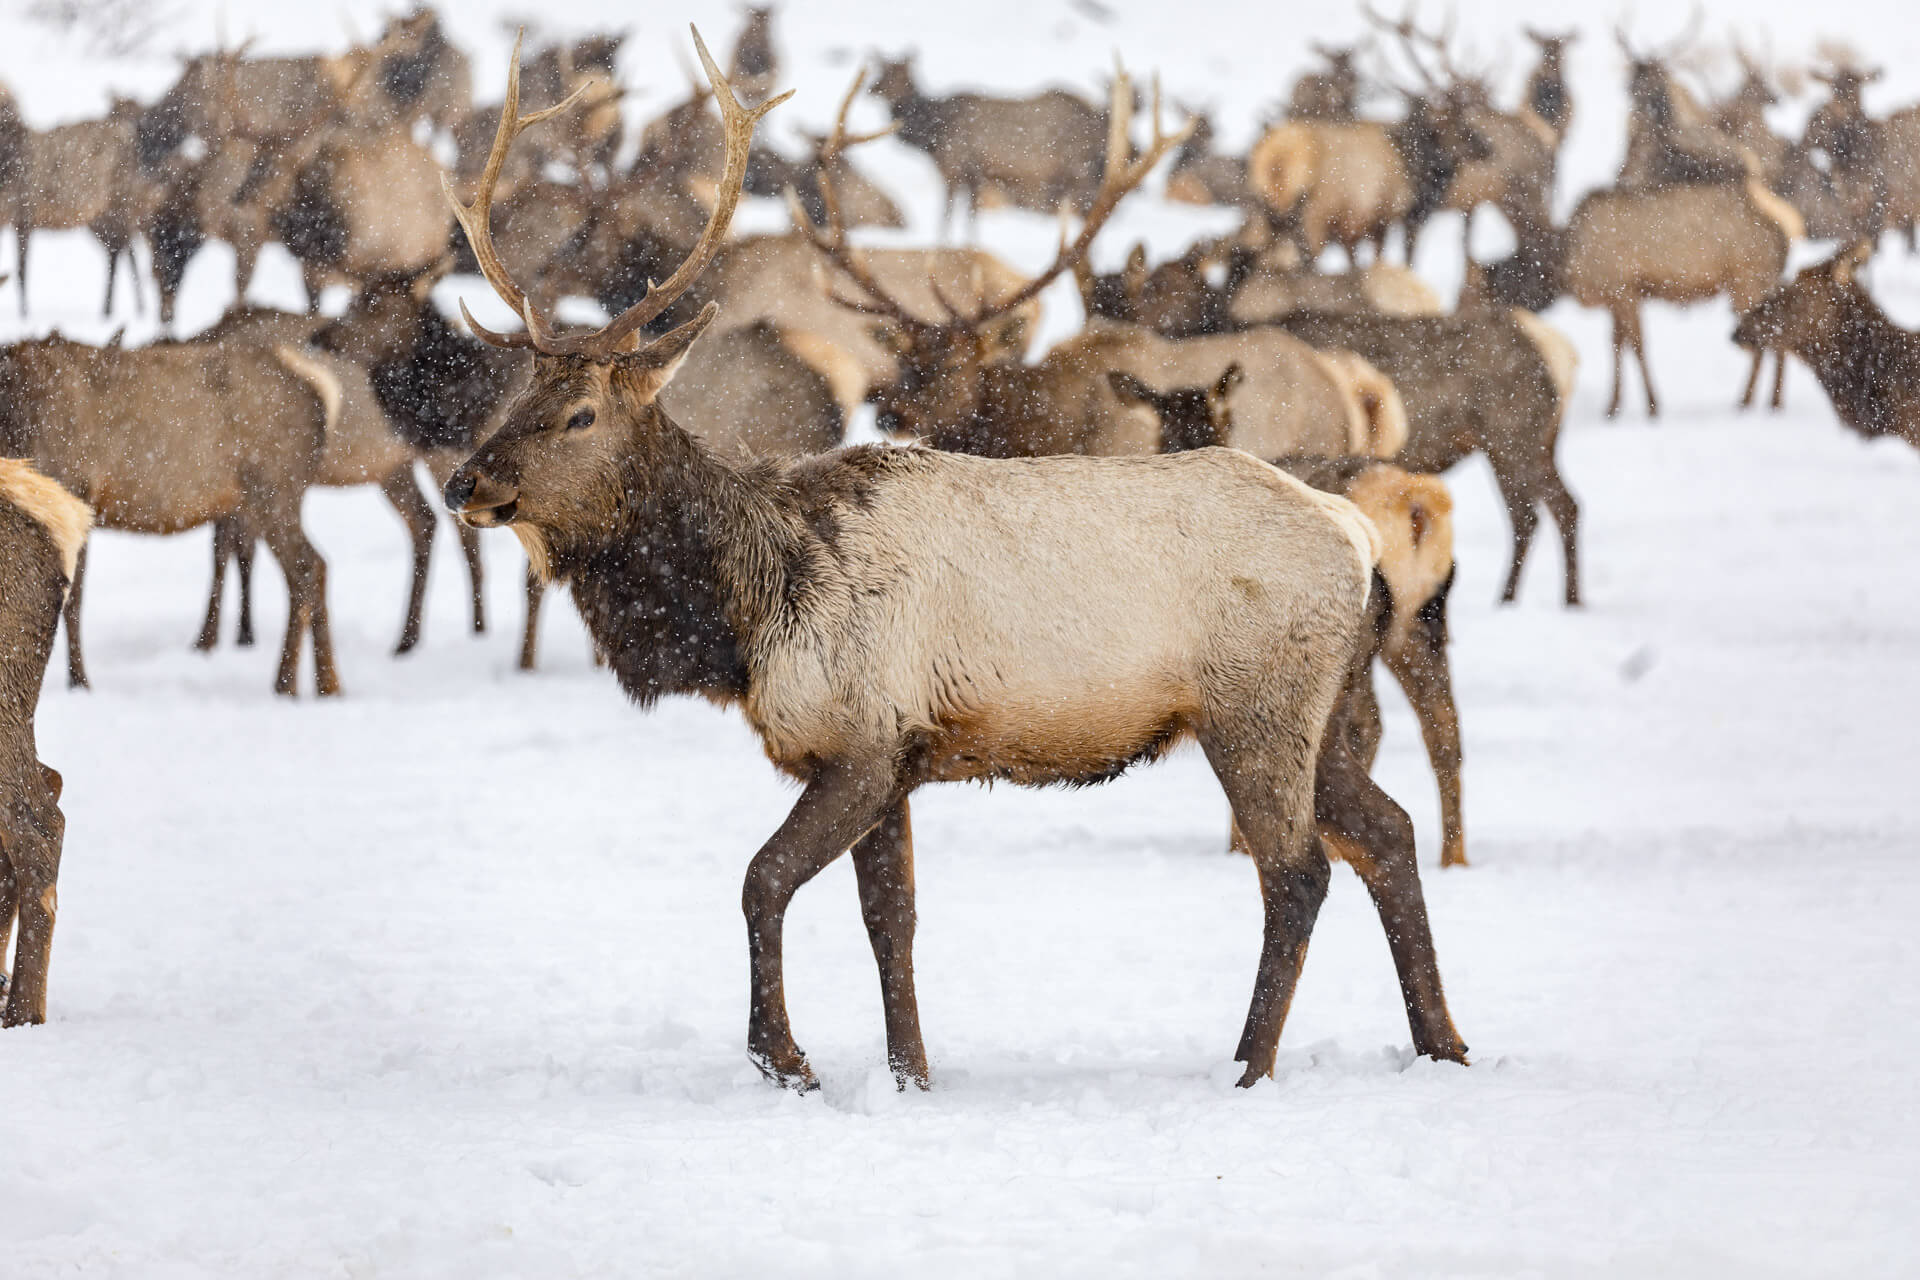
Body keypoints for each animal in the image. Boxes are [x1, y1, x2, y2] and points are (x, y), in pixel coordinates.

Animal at [0, 335, 343, 696]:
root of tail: (323, 389)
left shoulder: (73, 486)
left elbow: (71, 601)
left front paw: (79, 683)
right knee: (316, 565)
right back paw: (326, 685)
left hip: (273, 488)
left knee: (306, 566)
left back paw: (288, 684)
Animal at [439, 28, 1466, 1089]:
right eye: (517, 391)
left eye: (579, 413)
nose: (465, 480)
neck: (745, 615)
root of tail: (1356, 536)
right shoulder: (894, 755)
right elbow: (890, 919)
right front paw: (910, 1074)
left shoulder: (860, 737)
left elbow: (762, 880)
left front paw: (786, 1058)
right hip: (1318, 711)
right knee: (1388, 832)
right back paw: (1442, 1040)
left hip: (1256, 708)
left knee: (1298, 870)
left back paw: (1250, 1064)